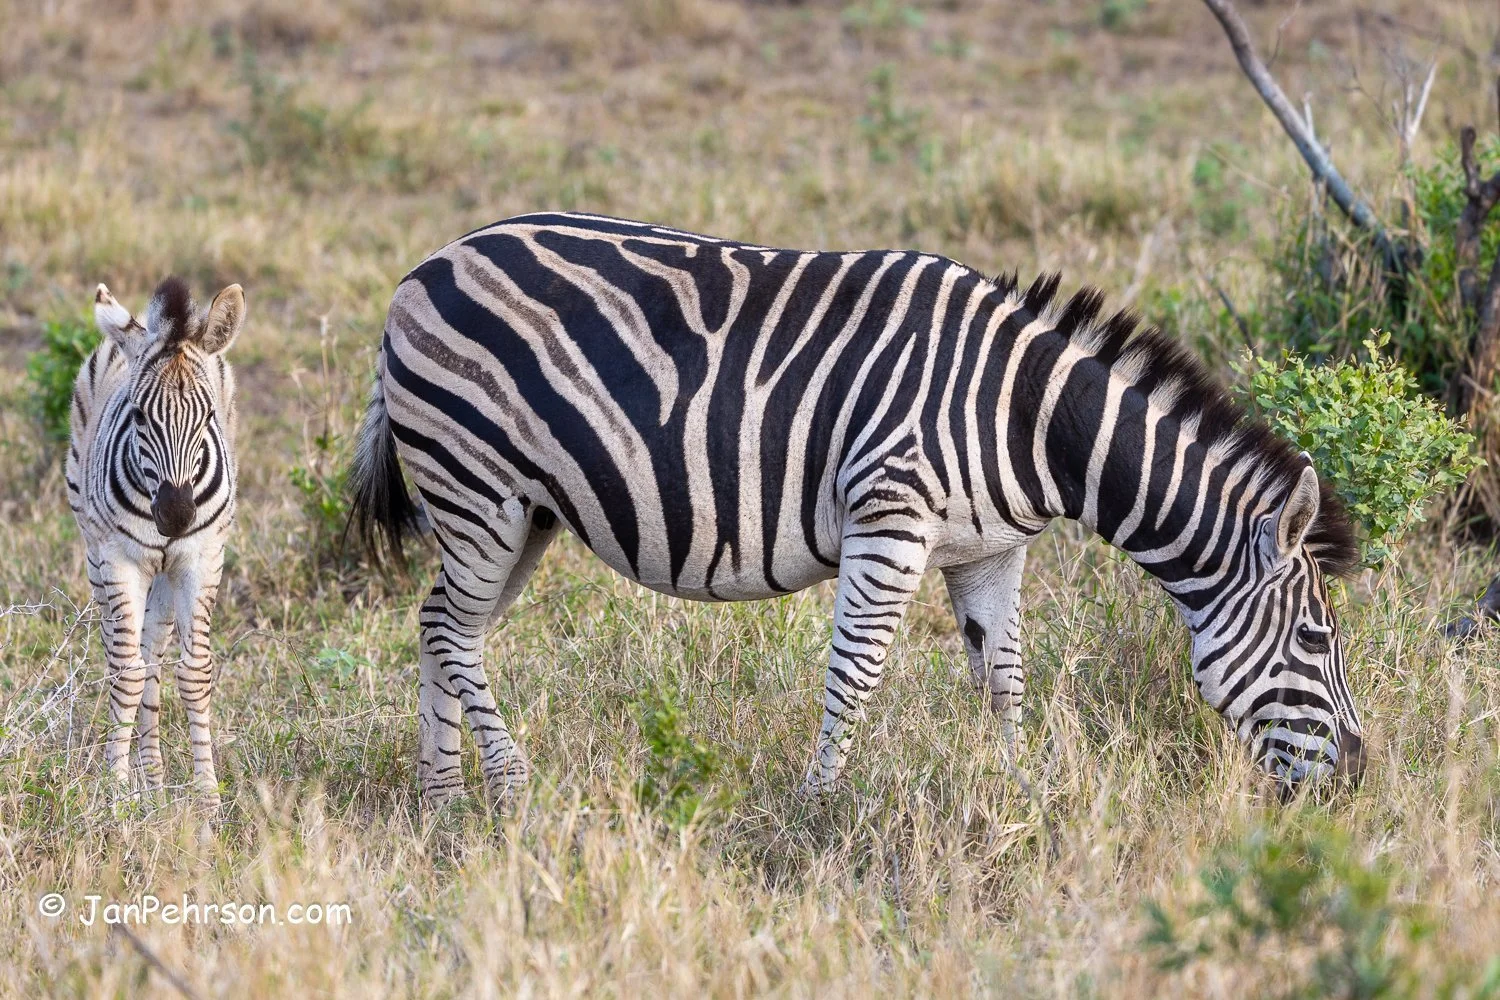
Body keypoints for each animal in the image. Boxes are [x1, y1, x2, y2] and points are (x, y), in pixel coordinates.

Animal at [67, 278, 246, 809]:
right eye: (140, 417)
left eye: (207, 416)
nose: (177, 516)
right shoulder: (120, 559)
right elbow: (125, 673)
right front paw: (116, 791)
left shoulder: (201, 559)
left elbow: (193, 672)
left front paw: (207, 795)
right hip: (95, 556)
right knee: (120, 652)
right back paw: (140, 778)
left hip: (166, 577)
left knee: (153, 655)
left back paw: (155, 775)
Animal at [349, 212, 1364, 806]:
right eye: (1318, 640)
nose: (1357, 777)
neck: (1028, 420)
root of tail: (425, 265)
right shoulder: (890, 521)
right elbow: (856, 675)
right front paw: (816, 812)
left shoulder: (989, 550)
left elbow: (1004, 678)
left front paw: (1022, 791)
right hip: (476, 484)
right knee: (453, 629)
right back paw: (511, 786)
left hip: (525, 509)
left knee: (441, 623)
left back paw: (443, 799)